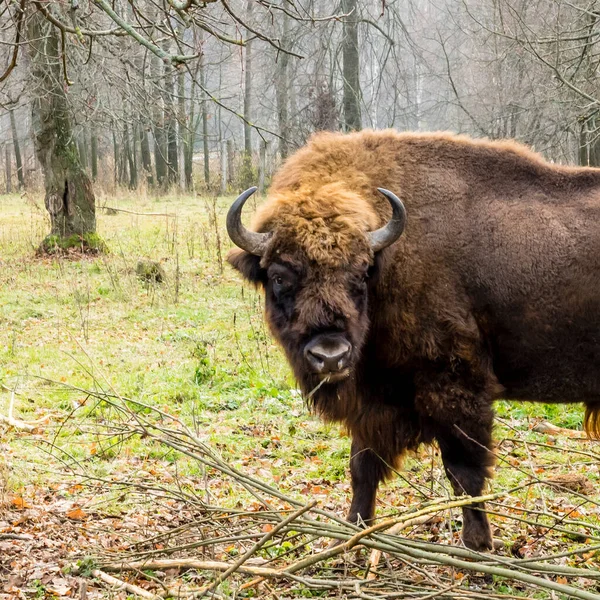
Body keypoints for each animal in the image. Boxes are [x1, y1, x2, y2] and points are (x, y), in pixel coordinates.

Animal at [225, 129, 600, 552]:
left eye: (361, 273)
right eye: (278, 276)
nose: (331, 356)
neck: (391, 256)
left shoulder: (455, 389)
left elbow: (464, 473)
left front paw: (478, 545)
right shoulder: (374, 400)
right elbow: (362, 466)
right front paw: (355, 534)